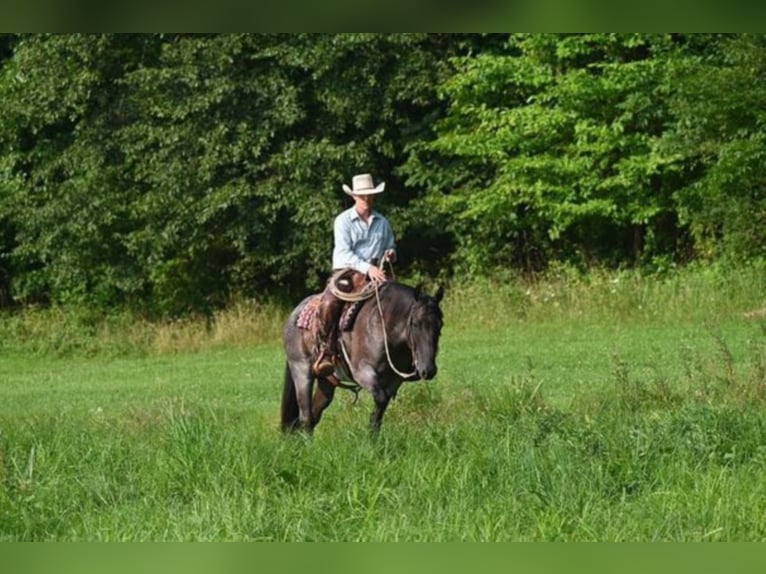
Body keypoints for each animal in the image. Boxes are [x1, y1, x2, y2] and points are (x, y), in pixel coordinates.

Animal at [284, 282, 444, 434]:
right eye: (415, 324)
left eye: (440, 325)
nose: (428, 370)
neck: (383, 324)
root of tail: (295, 312)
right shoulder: (363, 372)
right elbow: (380, 399)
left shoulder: (394, 380)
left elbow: (379, 412)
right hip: (301, 371)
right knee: (305, 417)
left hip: (326, 381)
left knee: (314, 415)